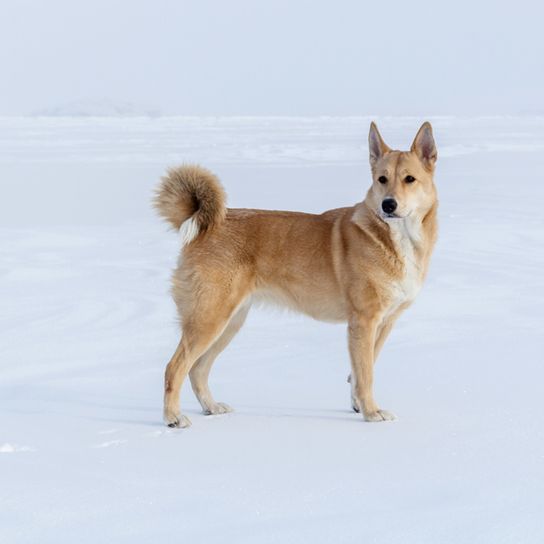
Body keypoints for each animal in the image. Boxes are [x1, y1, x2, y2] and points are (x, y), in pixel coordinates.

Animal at [153, 121, 438, 428]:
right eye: (382, 179)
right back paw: (173, 417)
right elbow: (366, 375)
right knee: (174, 367)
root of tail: (208, 226)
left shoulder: (383, 323)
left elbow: (361, 369)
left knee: (197, 369)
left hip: (229, 322)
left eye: (410, 179)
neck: (395, 238)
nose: (388, 205)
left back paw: (211, 407)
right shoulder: (363, 322)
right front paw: (372, 412)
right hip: (209, 319)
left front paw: (358, 405)